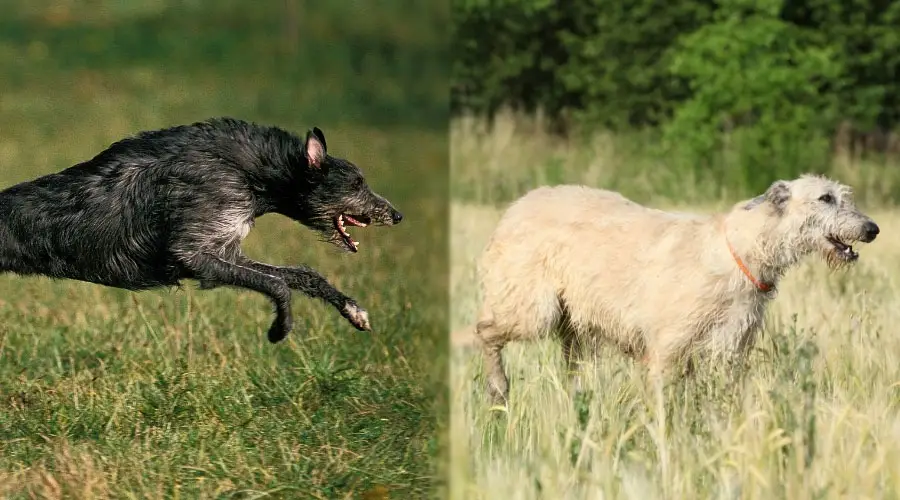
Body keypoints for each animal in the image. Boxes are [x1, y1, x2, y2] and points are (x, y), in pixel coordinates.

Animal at [0, 117, 402, 344]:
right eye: (357, 183)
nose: (397, 215)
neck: (253, 171)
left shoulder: (225, 249)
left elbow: (301, 275)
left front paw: (353, 310)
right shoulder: (192, 252)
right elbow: (277, 284)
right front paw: (280, 329)